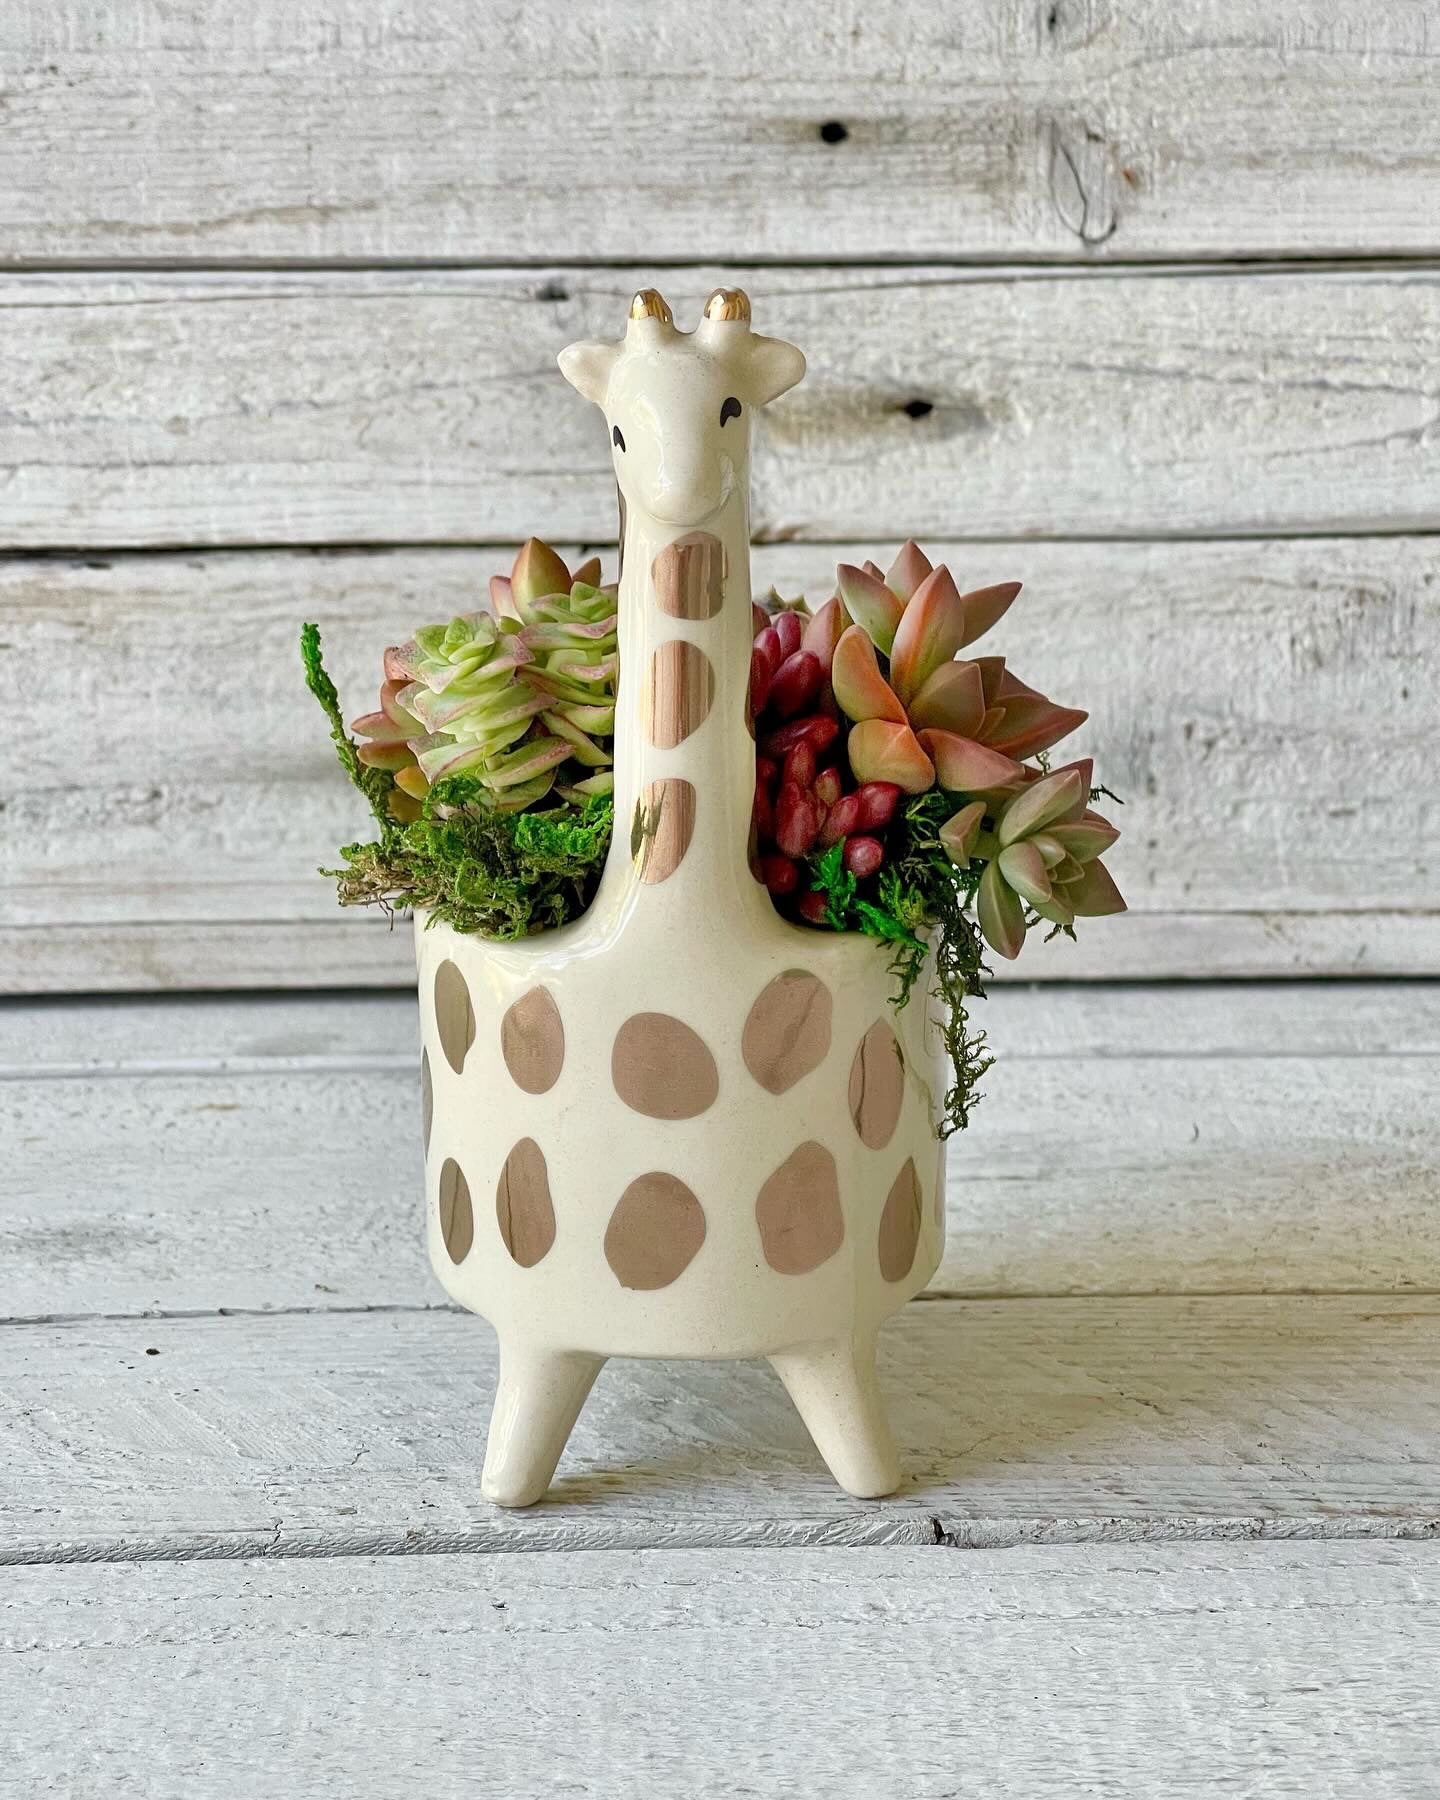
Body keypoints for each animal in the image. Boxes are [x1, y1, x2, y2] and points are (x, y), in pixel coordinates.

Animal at [415, 287, 946, 1506]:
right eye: (618, 429)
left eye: (733, 407)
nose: (679, 487)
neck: (677, 909)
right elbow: (536, 1373)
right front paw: (506, 1491)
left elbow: (842, 1380)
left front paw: (875, 1483)